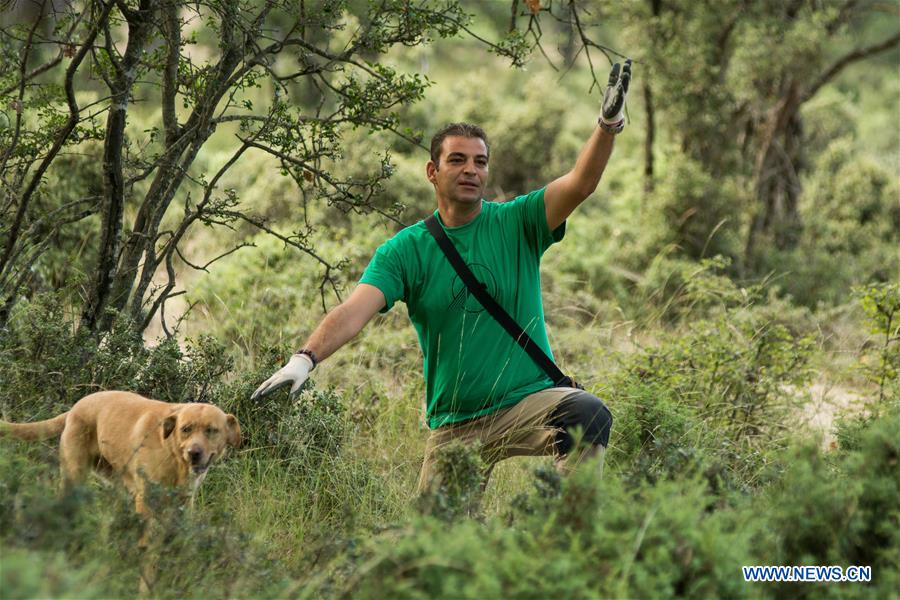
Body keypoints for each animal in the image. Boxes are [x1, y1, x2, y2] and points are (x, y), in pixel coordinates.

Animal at [0, 392, 241, 512]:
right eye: (186, 429)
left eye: (212, 430)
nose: (194, 453)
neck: (173, 455)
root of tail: (75, 407)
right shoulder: (146, 501)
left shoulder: (183, 504)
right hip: (73, 476)